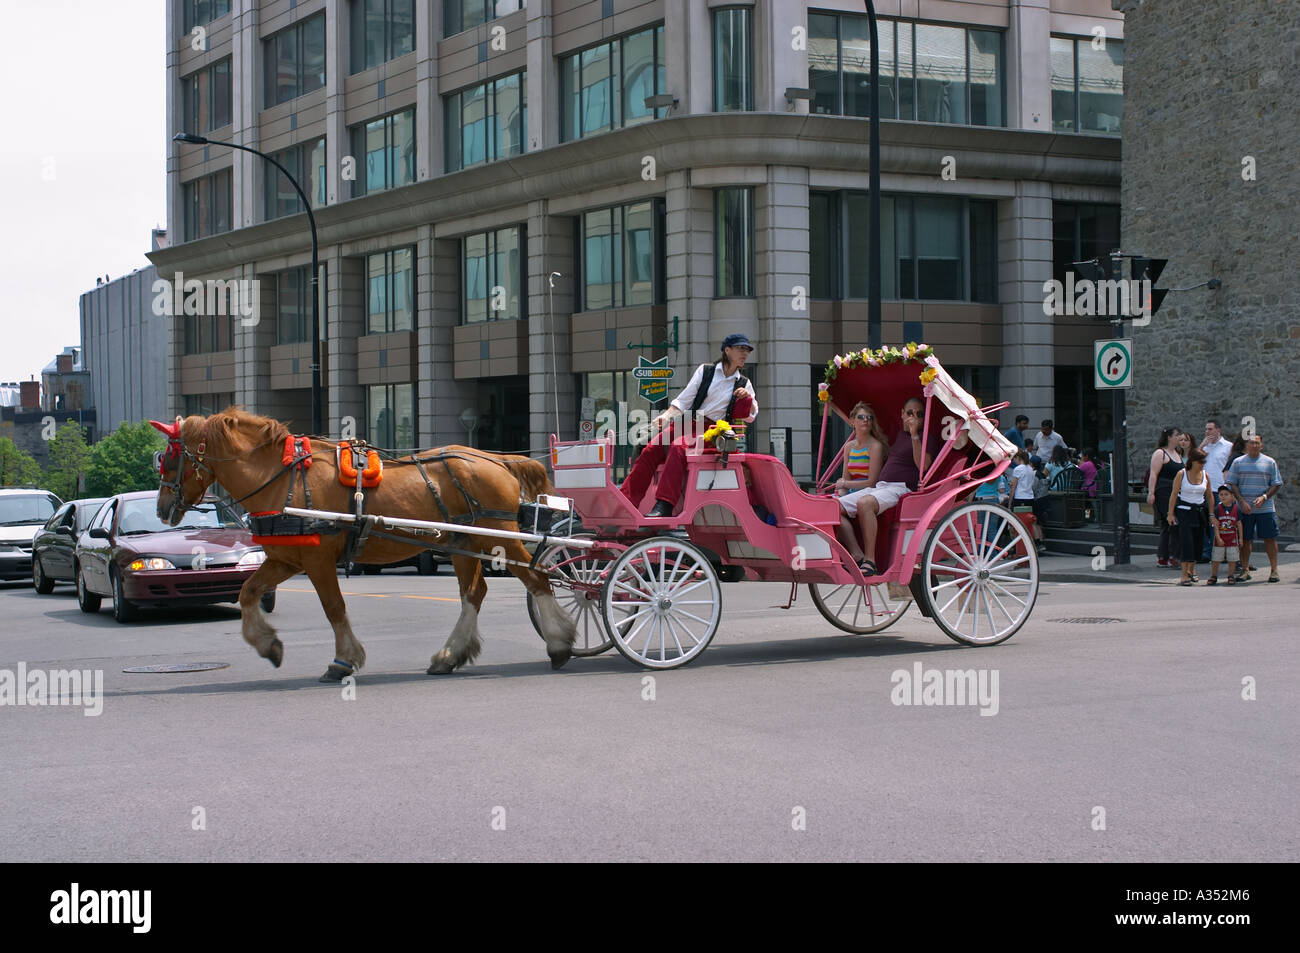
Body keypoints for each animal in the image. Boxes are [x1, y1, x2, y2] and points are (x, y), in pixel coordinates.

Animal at [149, 408, 577, 676]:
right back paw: (450, 655)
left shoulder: (318, 560)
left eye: (169, 460)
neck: (283, 478)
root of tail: (497, 459)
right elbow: (248, 592)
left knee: (537, 579)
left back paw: (559, 643)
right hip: (465, 542)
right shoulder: (287, 559)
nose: (162, 508)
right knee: (474, 593)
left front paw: (343, 660)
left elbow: (334, 608)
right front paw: (268, 645)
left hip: (499, 537)